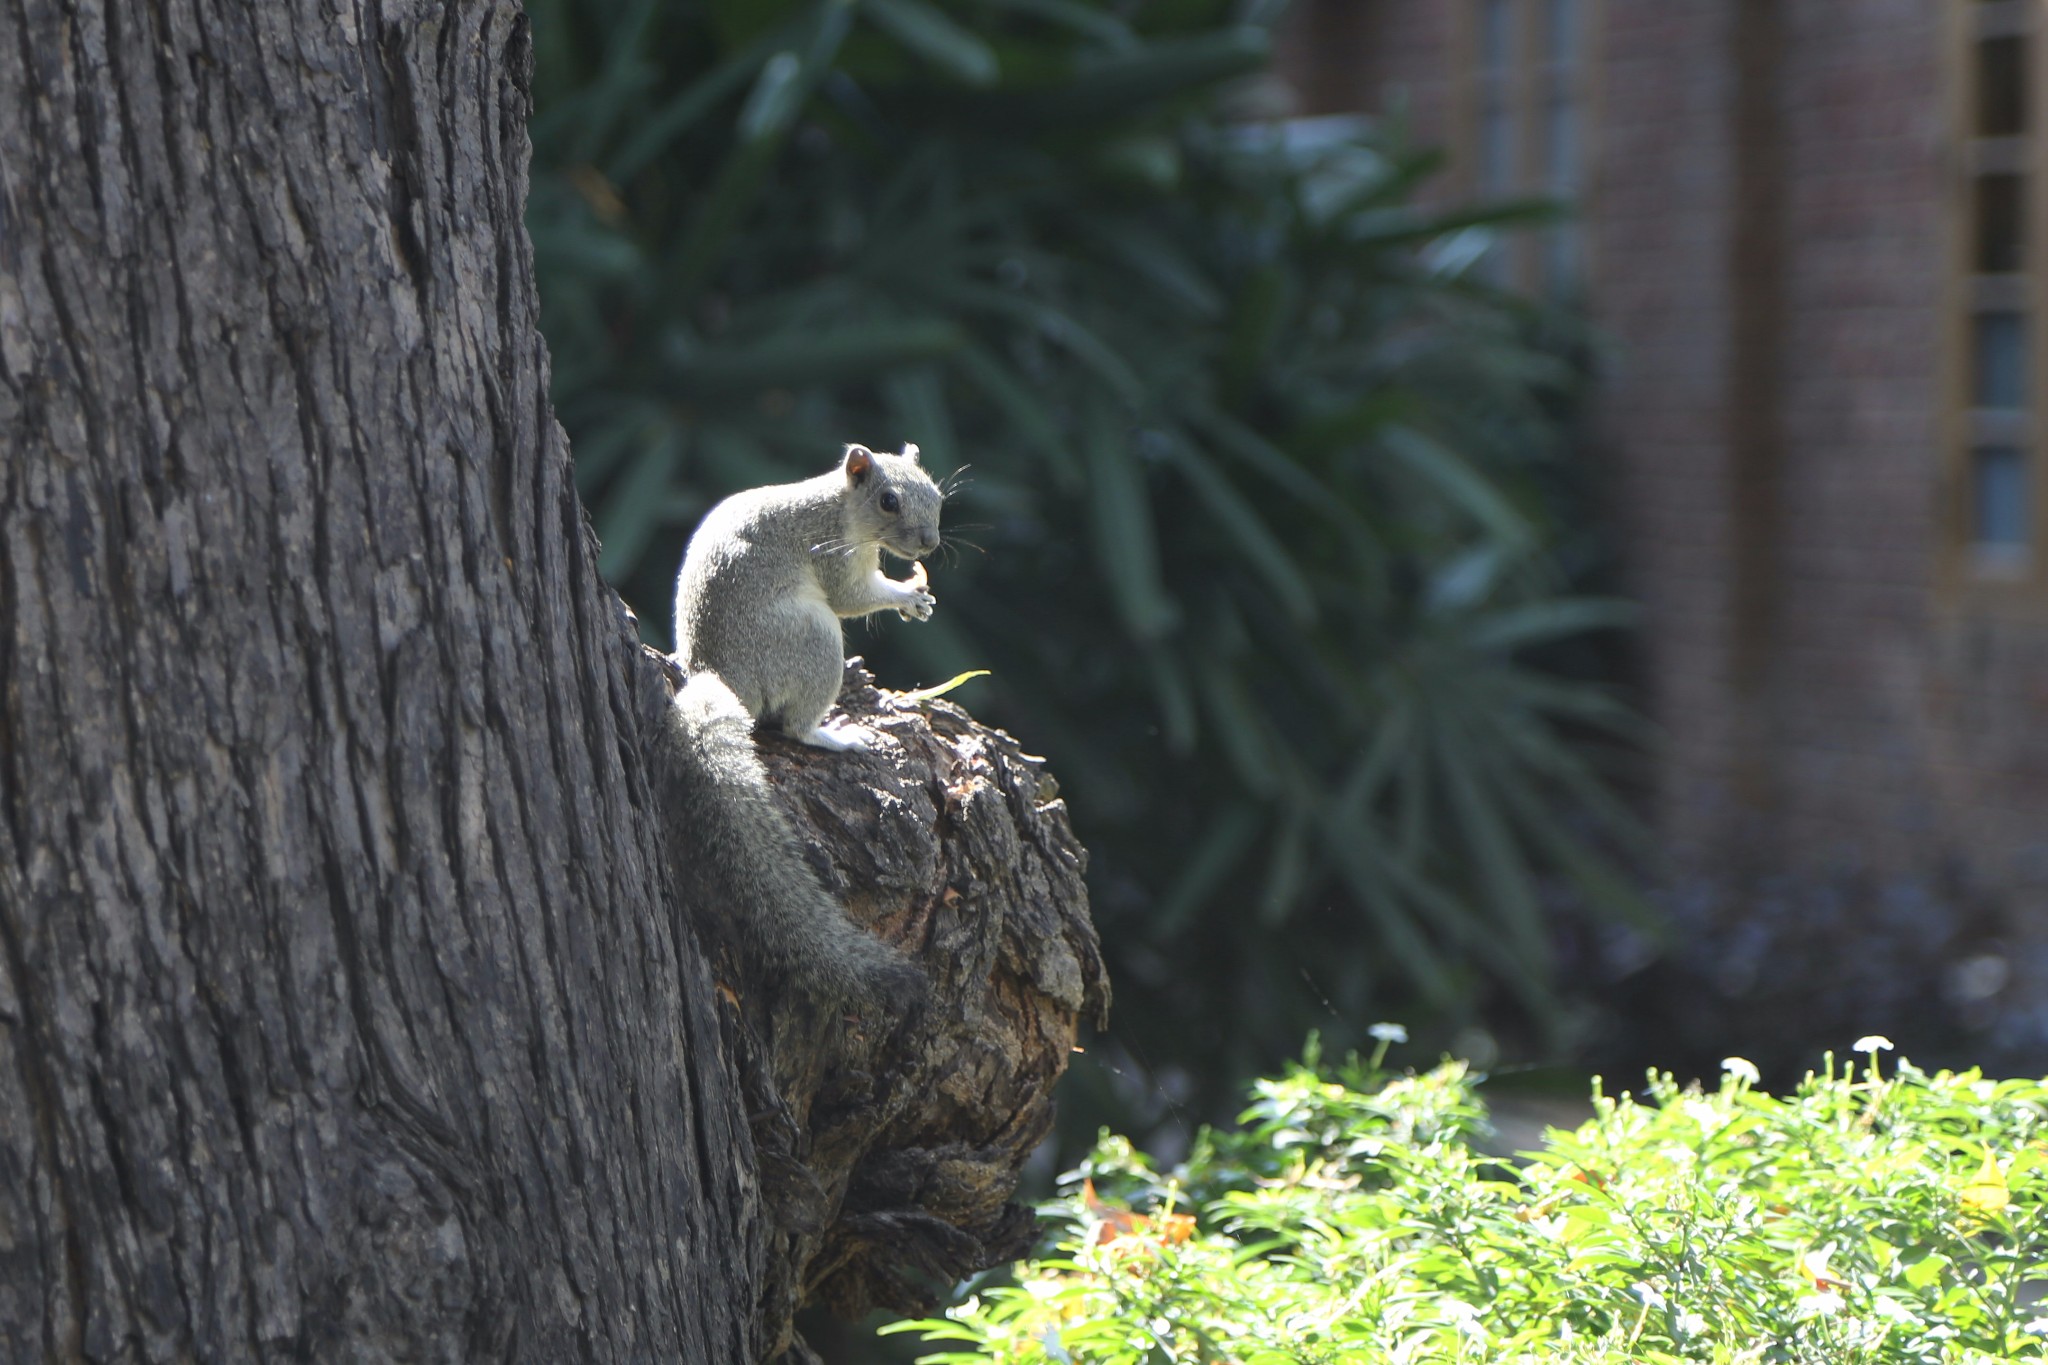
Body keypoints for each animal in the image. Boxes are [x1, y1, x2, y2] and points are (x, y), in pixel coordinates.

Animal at [647, 439, 942, 1015]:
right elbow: (853, 597)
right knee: (795, 725)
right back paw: (836, 734)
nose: (930, 544)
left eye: (938, 495)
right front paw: (905, 595)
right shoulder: (834, 557)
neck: (840, 507)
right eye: (889, 501)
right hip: (811, 639)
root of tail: (720, 677)